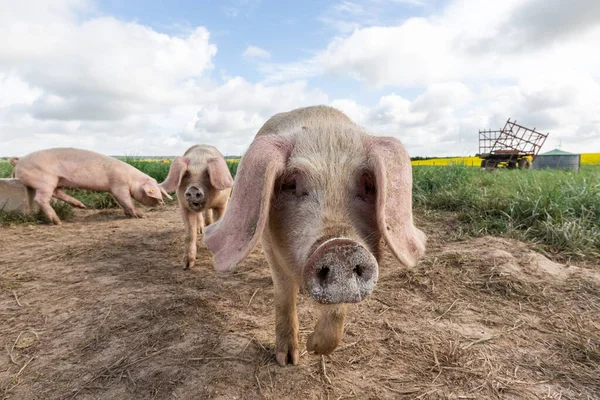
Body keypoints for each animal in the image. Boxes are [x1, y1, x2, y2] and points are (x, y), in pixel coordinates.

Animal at [11, 148, 171, 225]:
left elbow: (121, 202)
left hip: (55, 181)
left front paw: (128, 214)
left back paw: (81, 206)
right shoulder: (119, 185)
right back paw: (57, 221)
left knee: (57, 193)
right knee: (41, 199)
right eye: (154, 192)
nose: (161, 203)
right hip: (45, 181)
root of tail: (19, 161)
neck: (132, 180)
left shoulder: (113, 190)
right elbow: (127, 200)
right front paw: (141, 215)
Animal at [206, 105, 426, 366]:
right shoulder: (269, 243)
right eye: (290, 183)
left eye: (367, 184)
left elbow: (338, 311)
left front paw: (314, 348)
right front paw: (288, 360)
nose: (341, 247)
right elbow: (284, 294)